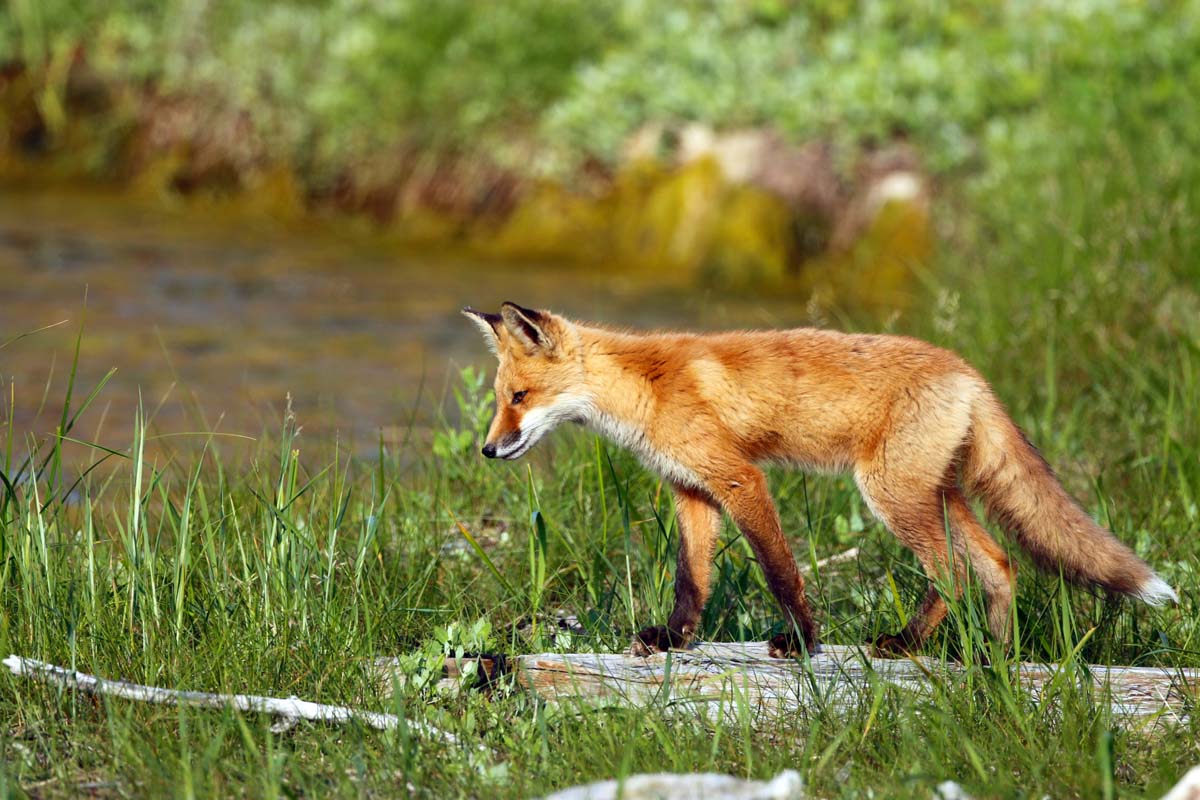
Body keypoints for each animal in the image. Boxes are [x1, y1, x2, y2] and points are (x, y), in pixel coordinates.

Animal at [462, 302, 1178, 657]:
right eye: (500, 399)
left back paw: (909, 645)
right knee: (999, 564)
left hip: (891, 497)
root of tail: (969, 372)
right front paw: (672, 640)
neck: (645, 387)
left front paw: (804, 642)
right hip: (937, 495)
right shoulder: (692, 492)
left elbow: (781, 573)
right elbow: (692, 580)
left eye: (520, 397)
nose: (488, 449)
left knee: (954, 573)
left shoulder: (740, 480)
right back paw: (995, 659)